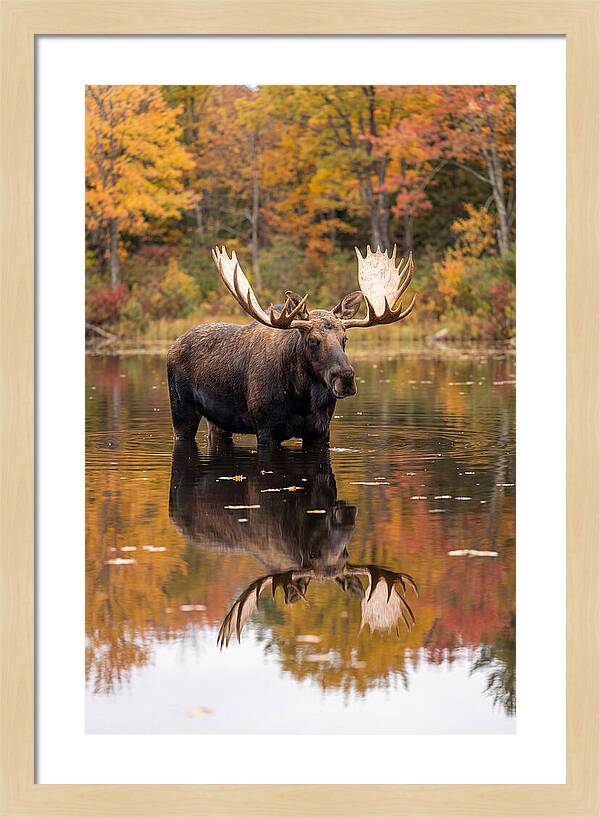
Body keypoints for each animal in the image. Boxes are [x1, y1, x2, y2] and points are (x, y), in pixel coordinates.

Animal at [167, 245, 416, 447]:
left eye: (345, 339)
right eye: (312, 340)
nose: (345, 378)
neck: (301, 398)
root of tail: (174, 345)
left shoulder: (320, 431)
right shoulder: (266, 428)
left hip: (218, 421)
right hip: (181, 409)